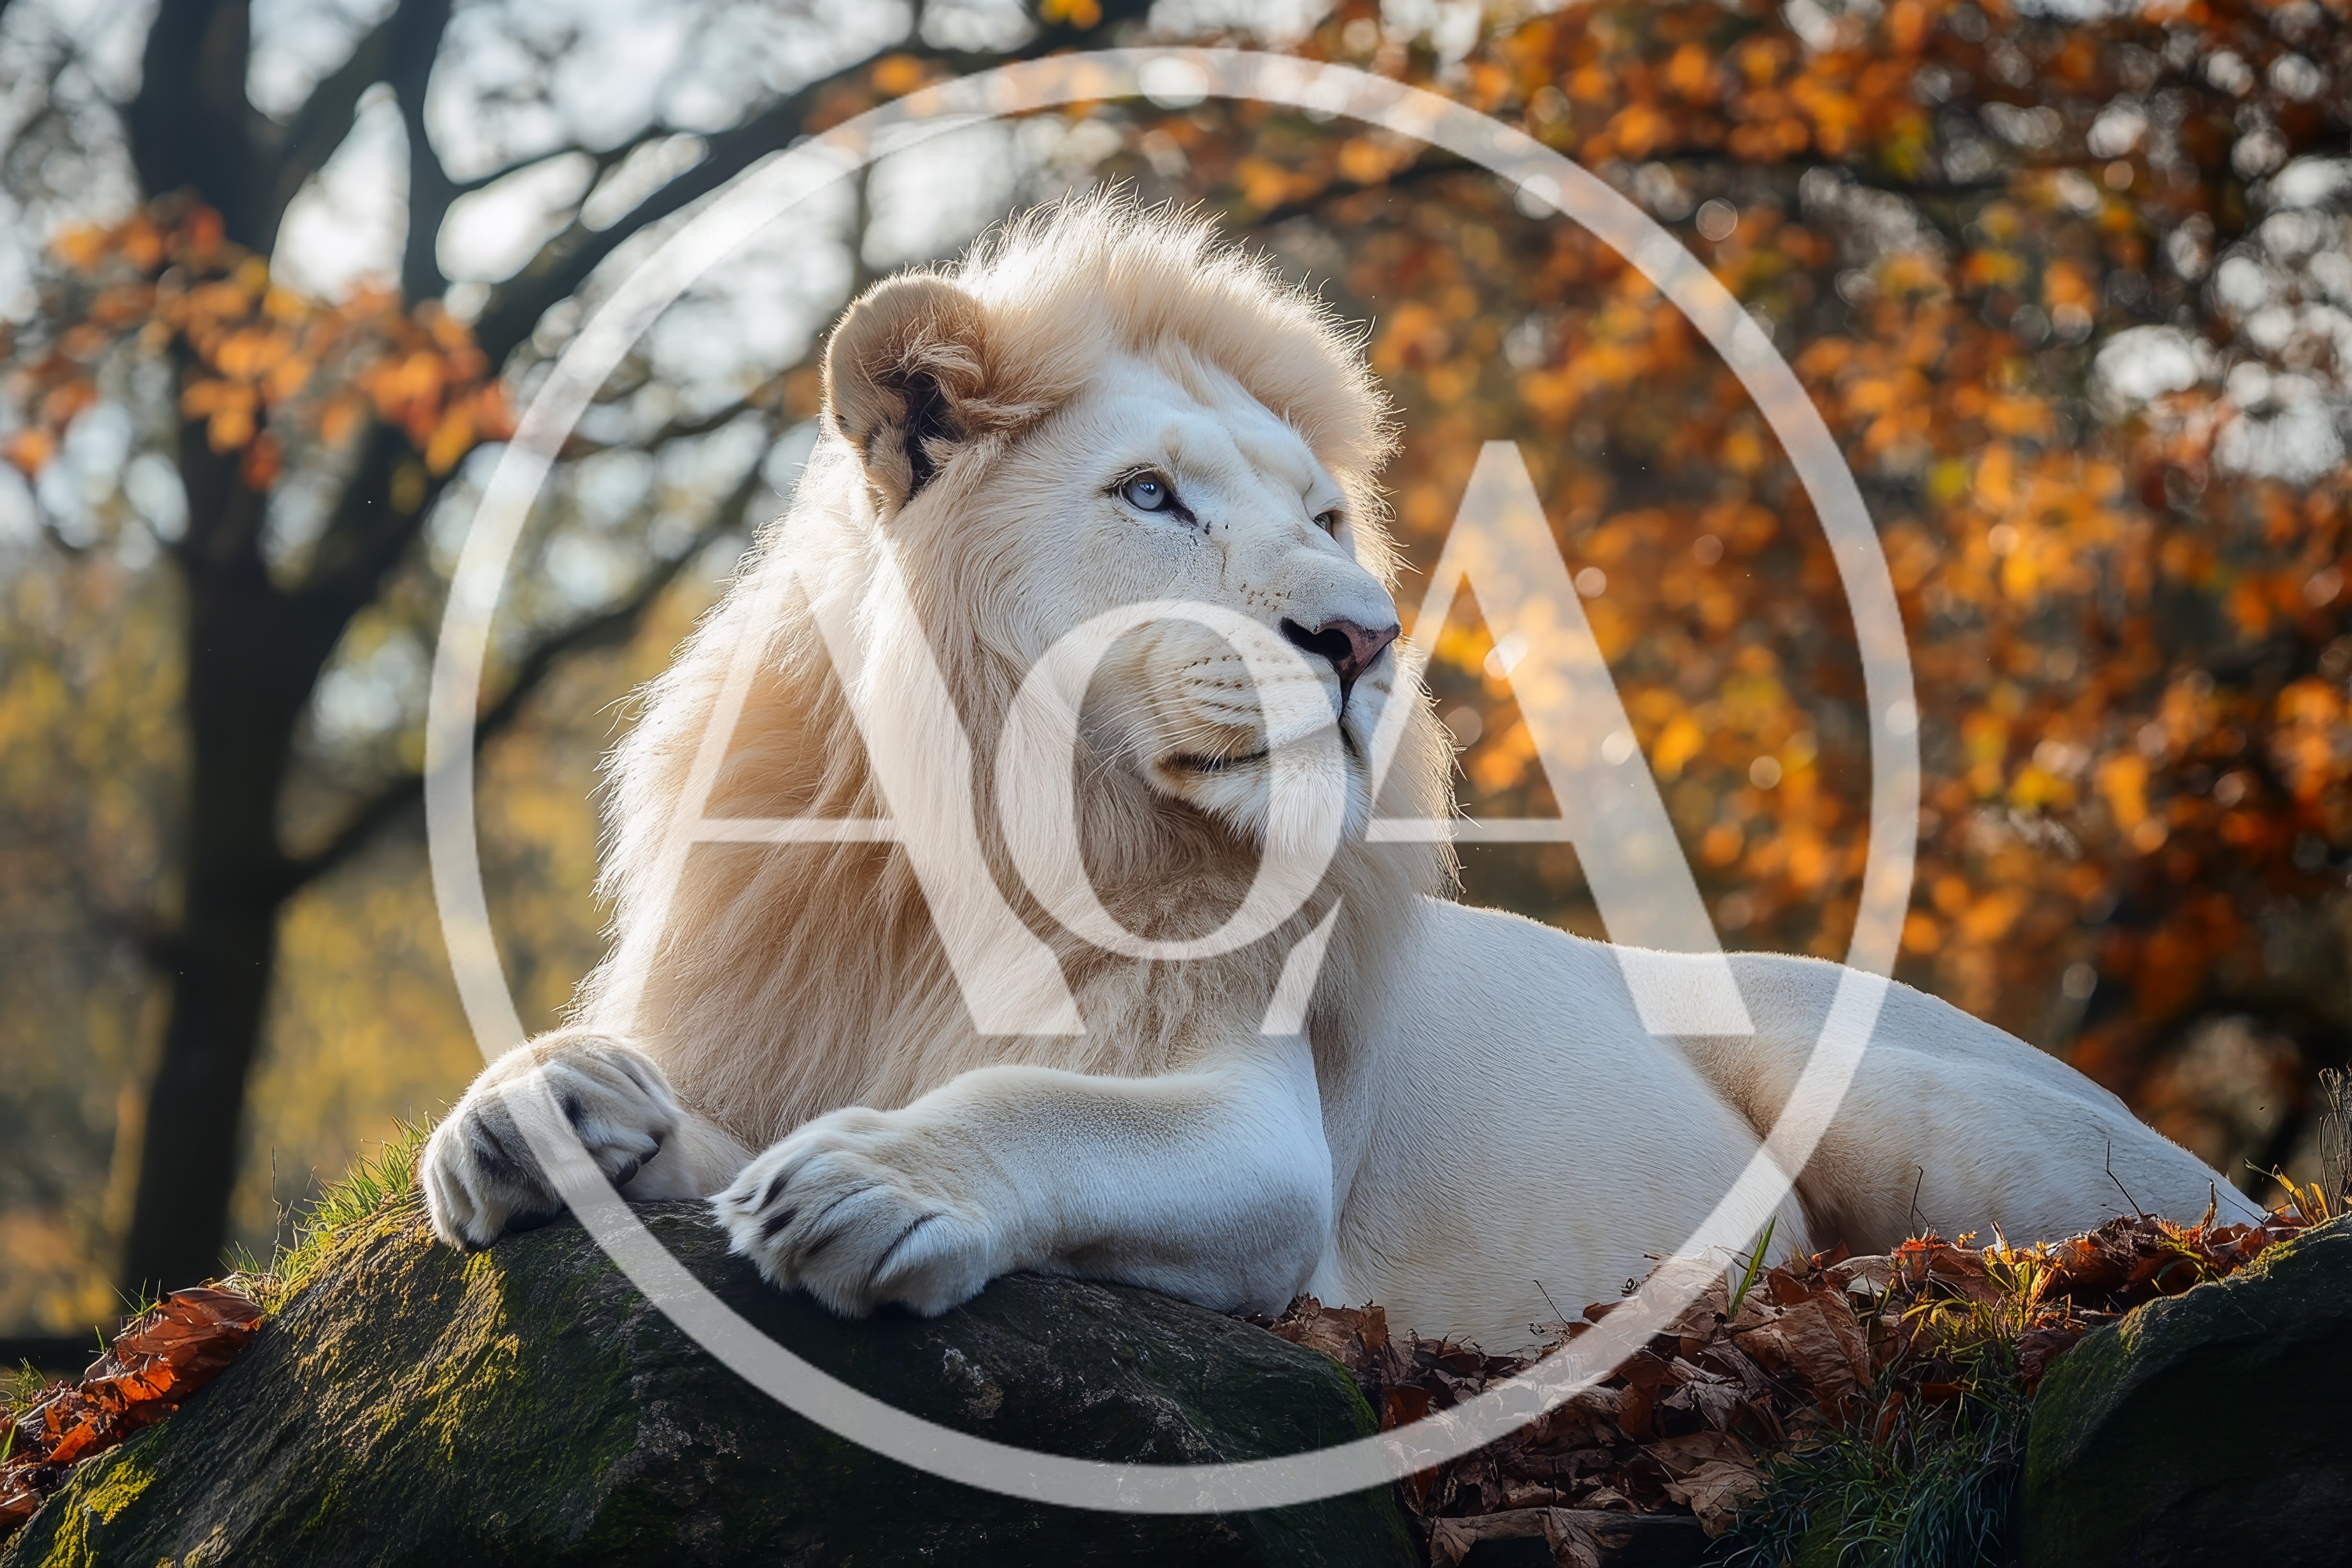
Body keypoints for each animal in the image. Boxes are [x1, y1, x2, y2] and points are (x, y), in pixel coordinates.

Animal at [420, 193, 2258, 1351]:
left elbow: (1039, 1106)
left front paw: (878, 1181)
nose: (1366, 638)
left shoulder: (1260, 1140)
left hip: (1928, 1107)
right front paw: (543, 1112)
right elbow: (682, 1122)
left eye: (1319, 514)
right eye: (1149, 496)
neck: (975, 846)